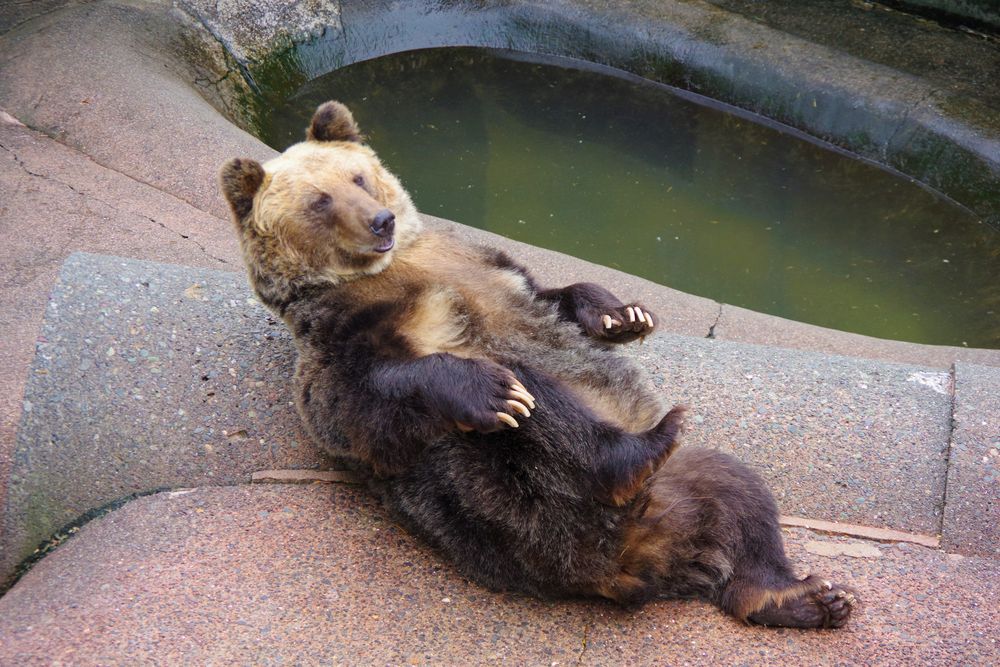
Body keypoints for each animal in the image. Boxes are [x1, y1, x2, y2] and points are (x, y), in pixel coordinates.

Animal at [219, 100, 856, 628]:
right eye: (319, 200)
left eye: (358, 176)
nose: (381, 221)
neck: (393, 267)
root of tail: (637, 556)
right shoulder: (342, 327)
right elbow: (361, 403)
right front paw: (486, 391)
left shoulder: (483, 264)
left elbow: (555, 296)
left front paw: (623, 314)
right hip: (525, 513)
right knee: (535, 409)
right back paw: (635, 447)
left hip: (678, 489)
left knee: (744, 498)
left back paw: (807, 598)